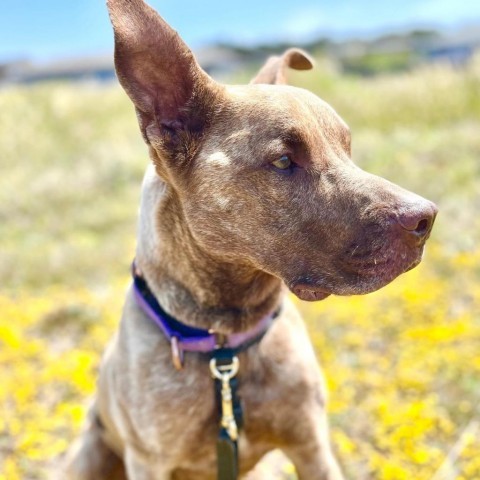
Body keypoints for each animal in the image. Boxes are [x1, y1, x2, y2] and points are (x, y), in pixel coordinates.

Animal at [64, 0, 438, 480]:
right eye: (282, 160)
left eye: (347, 147)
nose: (425, 218)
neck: (227, 346)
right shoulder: (149, 462)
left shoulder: (311, 446)